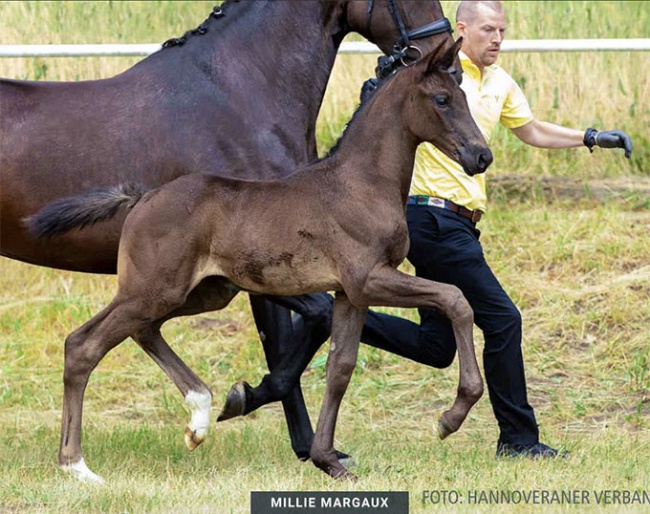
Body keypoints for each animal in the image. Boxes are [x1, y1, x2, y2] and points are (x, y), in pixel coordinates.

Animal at [26, 38, 492, 478]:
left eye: (463, 95)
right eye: (442, 99)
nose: (481, 155)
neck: (360, 182)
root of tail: (141, 198)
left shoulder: (350, 293)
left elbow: (340, 368)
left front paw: (328, 461)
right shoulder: (369, 278)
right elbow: (455, 298)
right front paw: (452, 416)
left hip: (202, 292)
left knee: (142, 331)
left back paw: (200, 418)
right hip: (153, 290)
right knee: (83, 345)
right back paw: (77, 466)